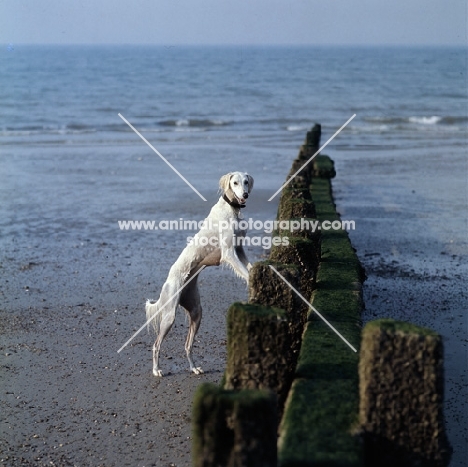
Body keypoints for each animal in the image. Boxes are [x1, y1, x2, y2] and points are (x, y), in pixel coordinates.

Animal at [147, 172, 254, 376]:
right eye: (235, 183)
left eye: (246, 182)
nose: (244, 195)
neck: (232, 209)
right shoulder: (229, 253)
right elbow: (246, 274)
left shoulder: (239, 249)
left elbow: (251, 267)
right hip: (169, 315)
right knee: (156, 345)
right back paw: (156, 370)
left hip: (197, 312)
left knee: (188, 345)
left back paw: (193, 367)